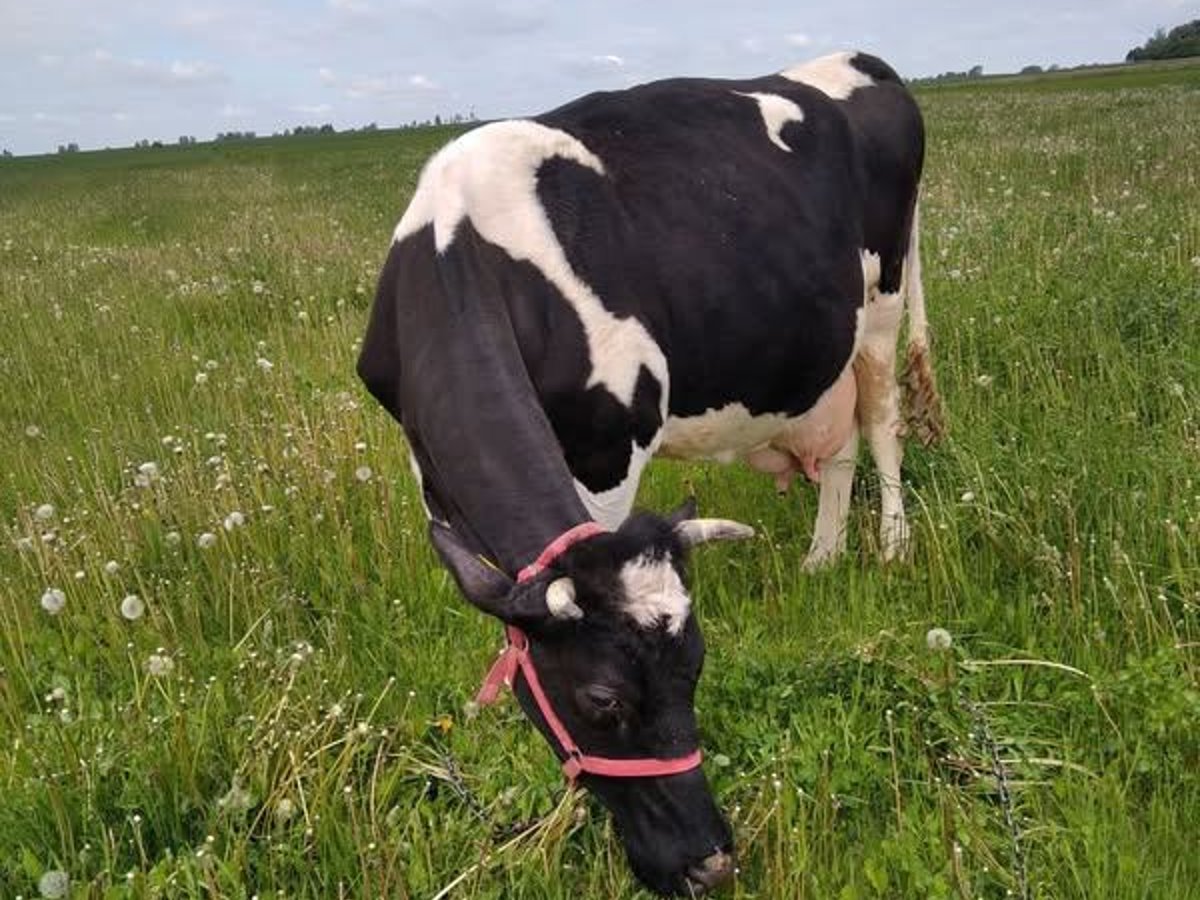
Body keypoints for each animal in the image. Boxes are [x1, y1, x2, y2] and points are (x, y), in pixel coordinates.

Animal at [358, 50, 943, 897]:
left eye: (696, 669)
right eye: (602, 699)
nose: (712, 862)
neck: (461, 246)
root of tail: (854, 60)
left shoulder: (608, 450)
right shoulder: (429, 466)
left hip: (883, 297)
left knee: (882, 421)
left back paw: (892, 543)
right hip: (821, 346)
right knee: (836, 451)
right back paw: (822, 557)